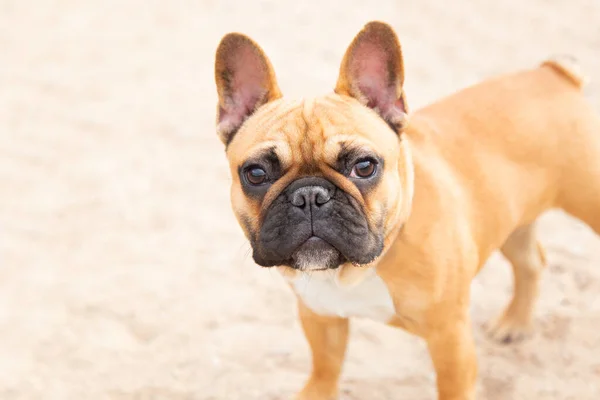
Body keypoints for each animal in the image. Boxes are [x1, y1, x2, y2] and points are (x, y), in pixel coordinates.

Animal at [213, 21, 596, 400]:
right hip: (510, 218)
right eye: (256, 174)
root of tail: (553, 75)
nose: (310, 195)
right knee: (530, 260)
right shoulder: (320, 316)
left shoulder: (450, 337)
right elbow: (325, 370)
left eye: (364, 166)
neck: (356, 270)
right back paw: (514, 322)